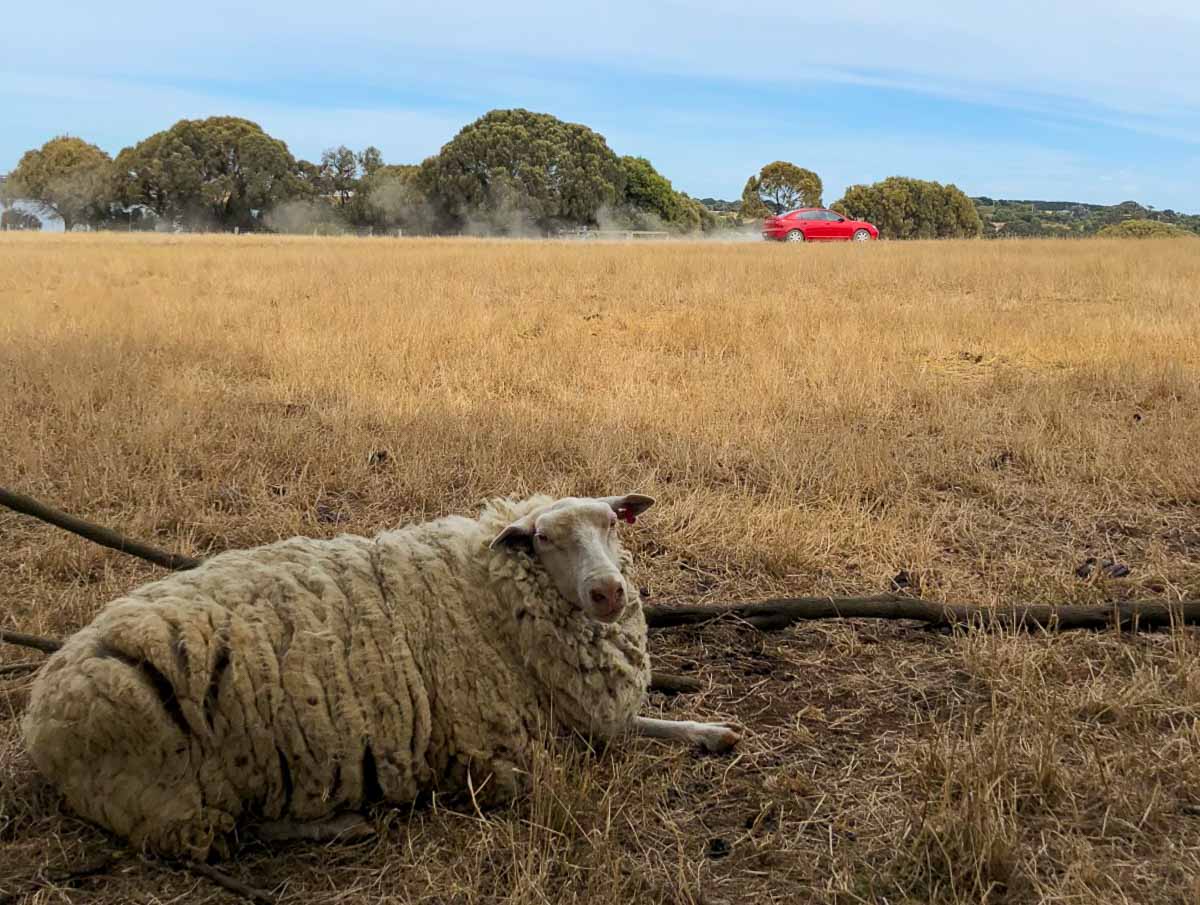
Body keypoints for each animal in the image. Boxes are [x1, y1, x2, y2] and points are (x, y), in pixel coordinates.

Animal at [21, 489, 739, 854]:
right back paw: (342, 822)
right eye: (542, 538)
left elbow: (645, 723)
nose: (608, 592)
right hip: (167, 790)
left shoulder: (578, 714)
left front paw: (712, 731)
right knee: (218, 832)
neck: (488, 592)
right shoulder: (499, 750)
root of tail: (39, 713)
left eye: (613, 523)